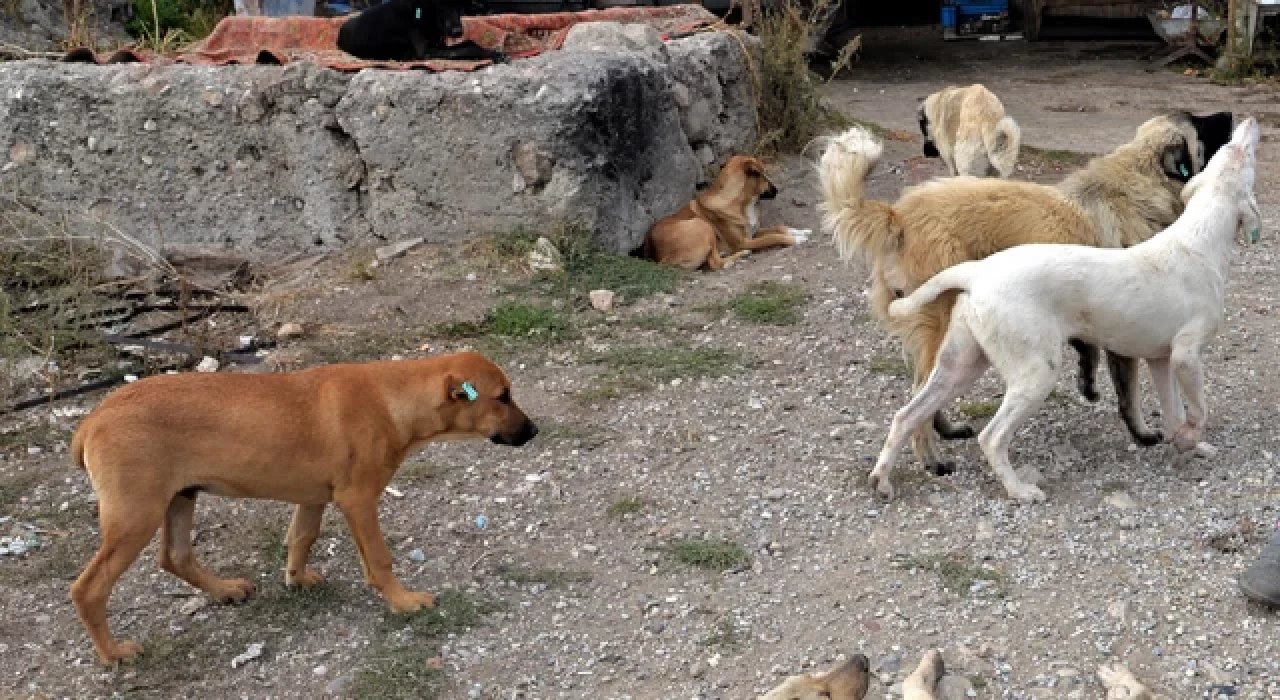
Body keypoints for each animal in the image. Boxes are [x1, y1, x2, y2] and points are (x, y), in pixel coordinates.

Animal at [67, 353, 537, 665]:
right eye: (502, 397)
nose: (533, 431)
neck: (391, 398)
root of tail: (92, 421)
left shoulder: (313, 497)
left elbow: (301, 537)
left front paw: (297, 579)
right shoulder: (358, 500)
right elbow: (379, 559)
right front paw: (403, 601)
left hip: (180, 498)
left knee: (175, 556)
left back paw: (226, 590)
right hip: (136, 516)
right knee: (89, 588)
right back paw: (114, 653)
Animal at [337, 0, 506, 63]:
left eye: (460, 5)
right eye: (442, 4)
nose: (457, 32)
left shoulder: (439, 44)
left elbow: (467, 43)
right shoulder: (427, 52)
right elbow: (469, 45)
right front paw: (492, 53)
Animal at [640, 154, 808, 270]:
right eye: (764, 175)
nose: (777, 191)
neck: (742, 203)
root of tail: (658, 257)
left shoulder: (752, 232)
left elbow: (779, 227)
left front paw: (801, 231)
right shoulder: (743, 242)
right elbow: (773, 237)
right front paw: (796, 239)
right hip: (702, 225)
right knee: (715, 263)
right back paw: (740, 255)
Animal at [819, 110, 1228, 476]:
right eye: (1200, 123)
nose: (1229, 114)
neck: (1135, 182)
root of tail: (898, 216)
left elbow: (1090, 352)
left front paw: (1088, 382)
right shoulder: (1124, 327)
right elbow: (1128, 390)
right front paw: (1142, 433)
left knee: (927, 391)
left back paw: (945, 431)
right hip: (942, 323)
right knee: (921, 394)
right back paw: (931, 458)